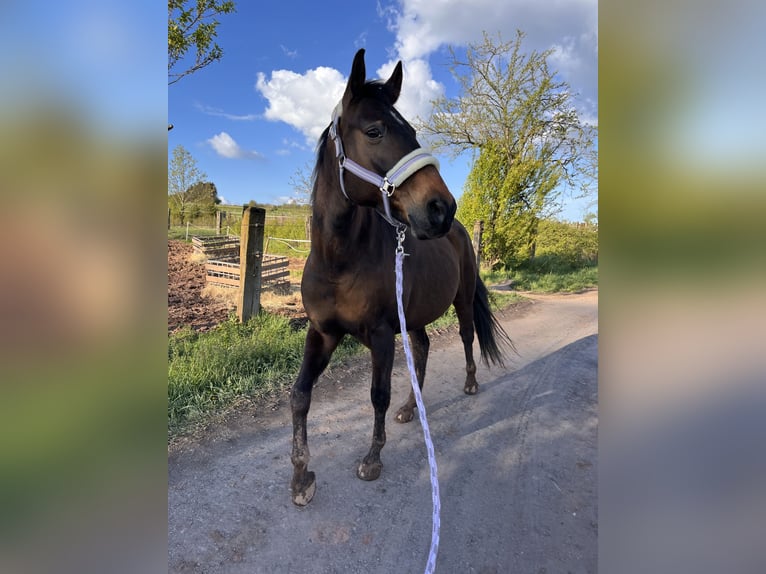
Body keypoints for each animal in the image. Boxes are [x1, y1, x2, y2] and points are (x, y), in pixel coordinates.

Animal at [290, 49, 511, 506]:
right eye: (374, 131)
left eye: (411, 130)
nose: (441, 207)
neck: (339, 261)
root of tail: (461, 232)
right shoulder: (321, 333)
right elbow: (300, 395)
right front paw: (302, 475)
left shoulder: (379, 335)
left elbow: (377, 395)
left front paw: (372, 460)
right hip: (415, 316)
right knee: (423, 349)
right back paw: (412, 408)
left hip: (461, 301)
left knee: (466, 337)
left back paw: (469, 385)